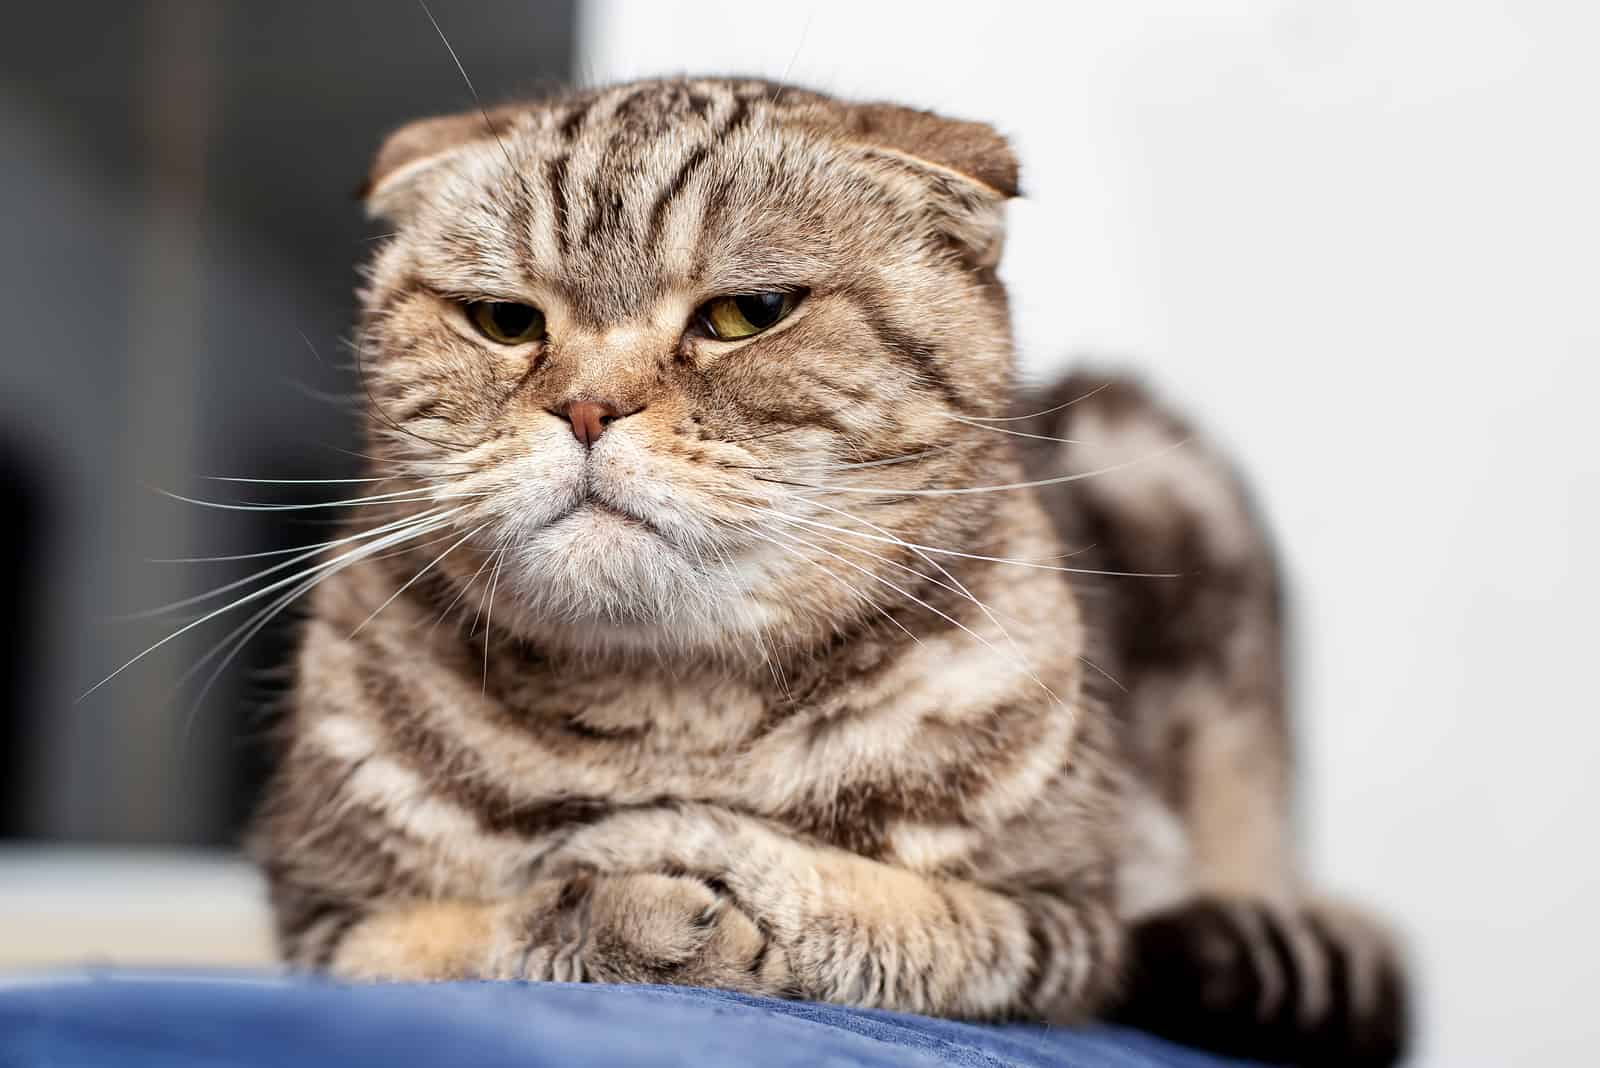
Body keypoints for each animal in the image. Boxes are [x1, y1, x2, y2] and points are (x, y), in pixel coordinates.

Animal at [243, 77, 1408, 1068]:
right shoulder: (321, 920)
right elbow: (462, 933)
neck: (672, 716)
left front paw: (687, 858)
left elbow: (905, 915)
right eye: (504, 320)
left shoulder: (1073, 917)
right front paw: (633, 908)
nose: (585, 408)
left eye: (747, 314)